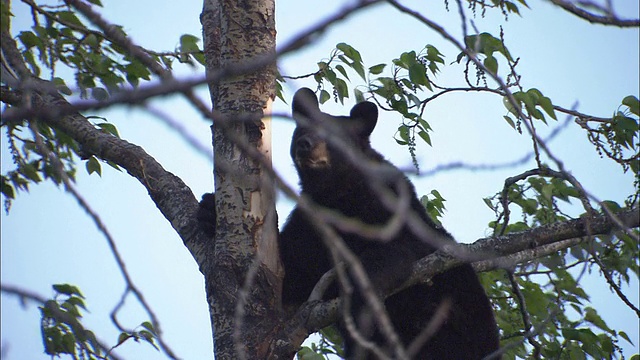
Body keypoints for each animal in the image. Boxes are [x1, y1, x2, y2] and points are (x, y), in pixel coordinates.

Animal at [200, 88, 500, 360]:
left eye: (333, 133)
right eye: (301, 130)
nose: (305, 144)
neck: (336, 194)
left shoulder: (392, 212)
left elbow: (396, 251)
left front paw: (360, 293)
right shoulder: (311, 223)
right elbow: (294, 270)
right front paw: (209, 208)